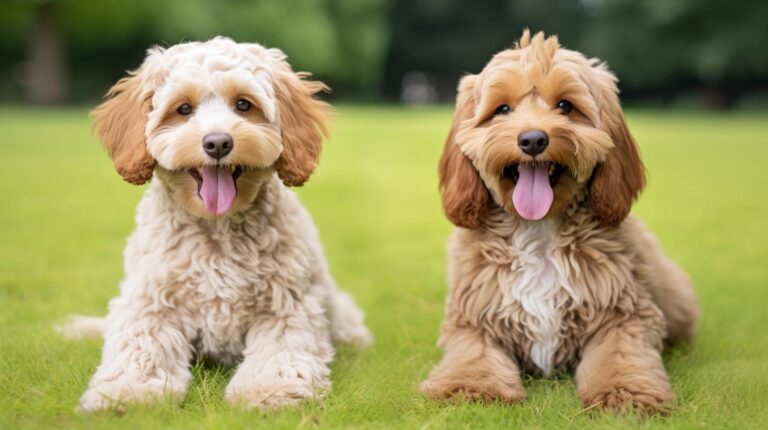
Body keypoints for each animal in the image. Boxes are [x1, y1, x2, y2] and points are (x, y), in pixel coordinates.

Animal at [58, 37, 370, 414]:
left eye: (243, 104)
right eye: (183, 109)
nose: (218, 142)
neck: (217, 227)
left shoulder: (287, 304)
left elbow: (280, 351)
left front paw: (272, 389)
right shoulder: (150, 302)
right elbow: (140, 348)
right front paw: (125, 392)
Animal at [424, 30, 700, 414]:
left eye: (566, 106)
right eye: (502, 109)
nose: (533, 139)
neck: (539, 230)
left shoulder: (625, 313)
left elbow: (620, 356)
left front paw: (626, 392)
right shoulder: (473, 316)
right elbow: (473, 354)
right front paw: (470, 387)